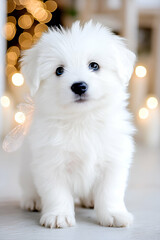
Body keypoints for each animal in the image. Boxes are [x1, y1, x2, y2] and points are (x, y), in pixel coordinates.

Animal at [19, 21, 135, 229]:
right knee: (28, 187)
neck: (82, 120)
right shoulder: (50, 163)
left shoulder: (114, 160)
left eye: (94, 65)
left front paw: (113, 214)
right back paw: (32, 201)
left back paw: (90, 200)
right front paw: (58, 215)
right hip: (25, 169)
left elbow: (110, 191)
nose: (79, 86)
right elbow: (56, 193)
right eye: (59, 70)